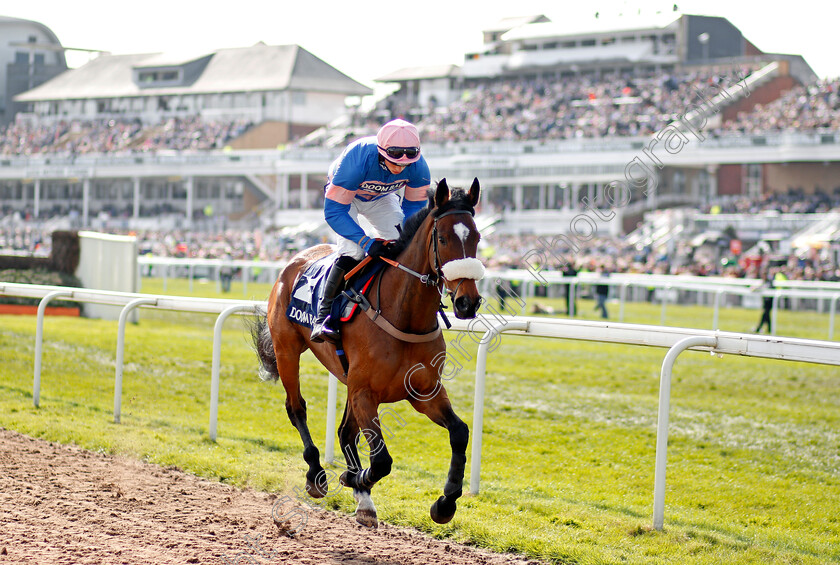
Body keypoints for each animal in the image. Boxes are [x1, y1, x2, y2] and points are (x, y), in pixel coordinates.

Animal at [253, 178, 482, 528]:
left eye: (478, 237)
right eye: (443, 239)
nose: (467, 302)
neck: (404, 315)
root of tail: (297, 258)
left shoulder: (424, 392)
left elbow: (459, 432)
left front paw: (445, 503)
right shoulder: (365, 393)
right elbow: (382, 460)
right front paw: (353, 478)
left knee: (345, 431)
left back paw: (361, 495)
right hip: (286, 350)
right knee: (297, 408)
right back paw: (317, 473)